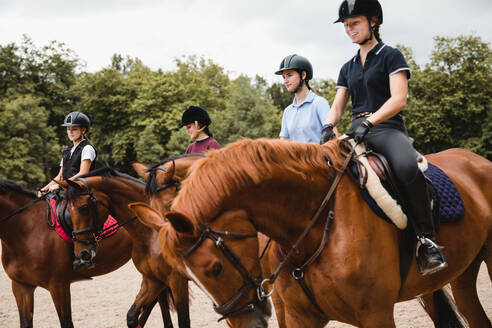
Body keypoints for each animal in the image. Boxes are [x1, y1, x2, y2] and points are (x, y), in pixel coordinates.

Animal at [55, 168, 190, 328]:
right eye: (68, 211)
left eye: (84, 208)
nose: (82, 252)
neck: (150, 233)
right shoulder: (153, 280)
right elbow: (131, 316)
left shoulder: (177, 280)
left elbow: (184, 321)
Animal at [132, 138, 492, 328]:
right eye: (189, 277)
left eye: (215, 268)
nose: (247, 323)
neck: (316, 228)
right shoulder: (299, 314)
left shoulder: (375, 314)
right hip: (458, 277)